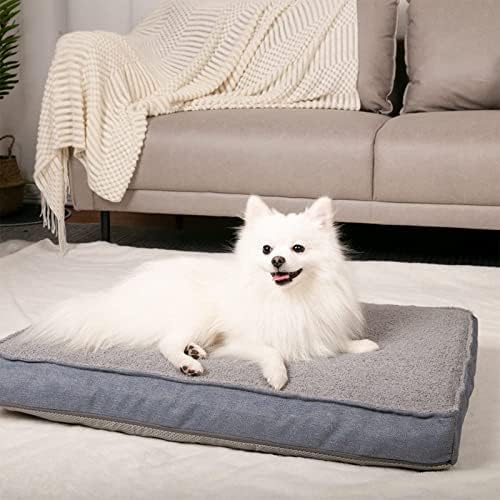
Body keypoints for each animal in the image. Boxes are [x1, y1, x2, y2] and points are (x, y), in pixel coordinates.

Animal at [28, 196, 379, 390]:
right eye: (266, 249)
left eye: (298, 248)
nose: (277, 260)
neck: (288, 298)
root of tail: (124, 297)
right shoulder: (242, 340)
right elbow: (272, 351)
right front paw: (277, 375)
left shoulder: (317, 325)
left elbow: (333, 340)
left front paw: (361, 345)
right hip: (199, 312)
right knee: (165, 343)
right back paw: (189, 363)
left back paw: (194, 350)